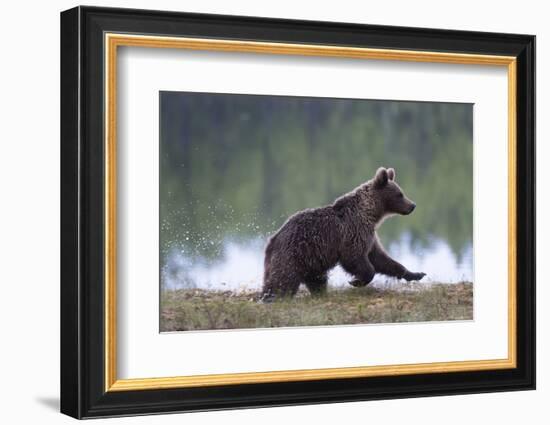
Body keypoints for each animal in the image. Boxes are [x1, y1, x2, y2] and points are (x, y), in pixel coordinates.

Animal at [262, 166, 426, 302]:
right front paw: (356, 281)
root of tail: (273, 239)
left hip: (311, 260)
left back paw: (318, 293)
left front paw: (416, 274)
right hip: (294, 253)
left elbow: (382, 260)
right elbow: (355, 258)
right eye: (400, 194)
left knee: (316, 279)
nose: (412, 205)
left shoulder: (369, 236)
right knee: (284, 279)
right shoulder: (353, 232)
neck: (371, 214)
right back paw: (271, 297)